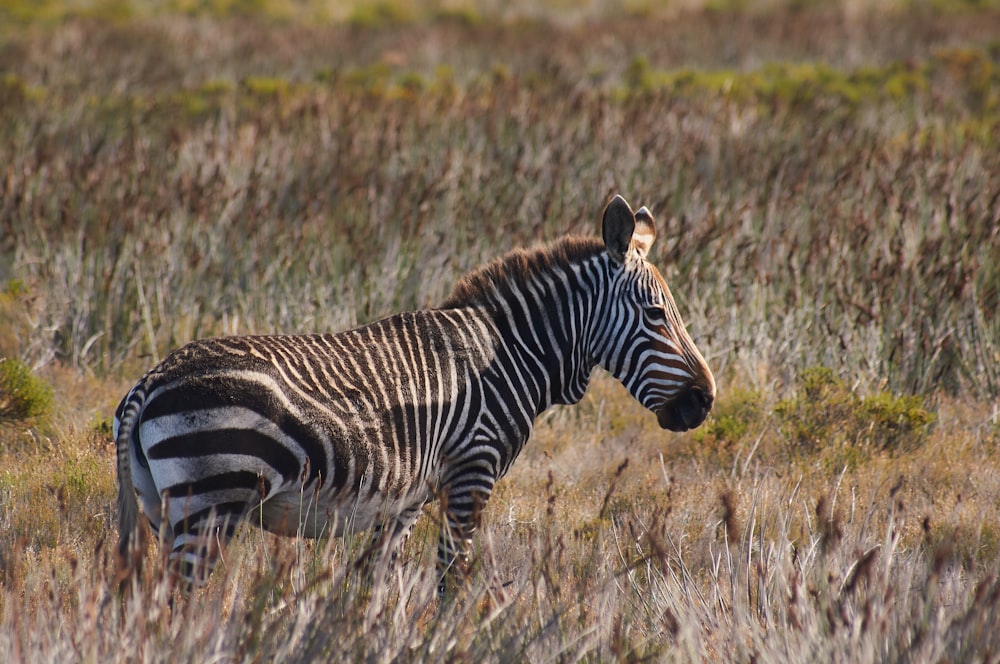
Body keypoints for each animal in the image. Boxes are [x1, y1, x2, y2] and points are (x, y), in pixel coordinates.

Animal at [113, 195, 716, 588]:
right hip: (210, 503)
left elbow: (370, 583)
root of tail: (151, 379)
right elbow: (452, 577)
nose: (705, 401)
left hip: (160, 509)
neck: (509, 355)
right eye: (657, 314)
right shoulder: (471, 472)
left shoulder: (407, 500)